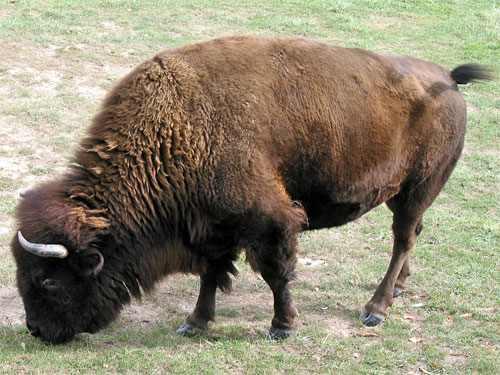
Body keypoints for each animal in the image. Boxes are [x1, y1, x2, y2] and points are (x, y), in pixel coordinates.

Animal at [11, 35, 492, 344]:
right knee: (412, 237)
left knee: (402, 239)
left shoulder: (269, 220)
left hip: (417, 189)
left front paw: (282, 327)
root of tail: (447, 78)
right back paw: (399, 290)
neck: (175, 129)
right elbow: (211, 273)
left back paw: (375, 309)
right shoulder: (211, 226)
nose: (37, 330)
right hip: (406, 194)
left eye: (48, 279)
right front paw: (195, 323)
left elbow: (275, 273)